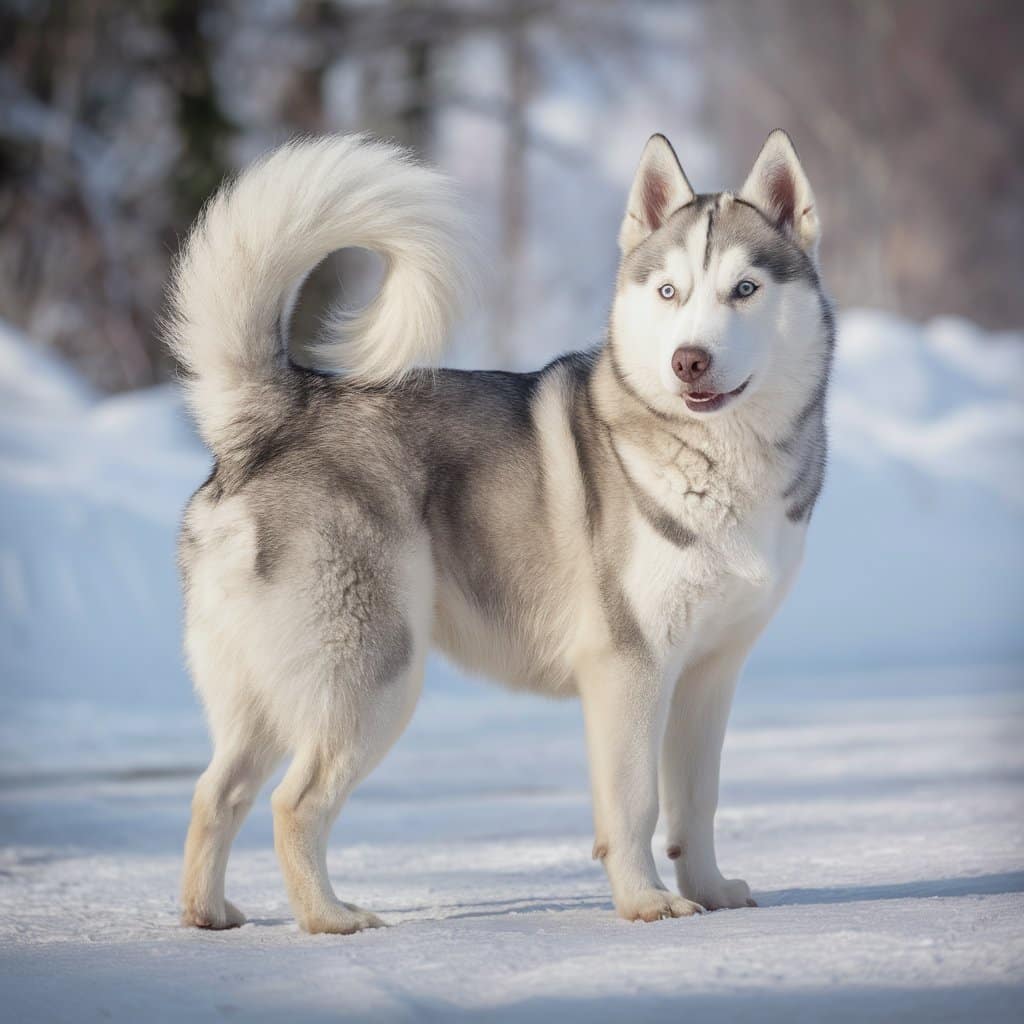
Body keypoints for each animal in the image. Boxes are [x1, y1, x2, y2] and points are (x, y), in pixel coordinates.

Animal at [169, 130, 831, 937]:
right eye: (669, 292)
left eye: (745, 289)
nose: (689, 360)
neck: (718, 461)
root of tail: (276, 413)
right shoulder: (630, 666)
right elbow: (635, 804)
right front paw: (645, 902)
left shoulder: (711, 673)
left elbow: (696, 802)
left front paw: (707, 889)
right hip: (371, 677)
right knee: (294, 804)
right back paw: (330, 918)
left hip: (266, 692)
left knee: (215, 791)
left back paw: (208, 914)